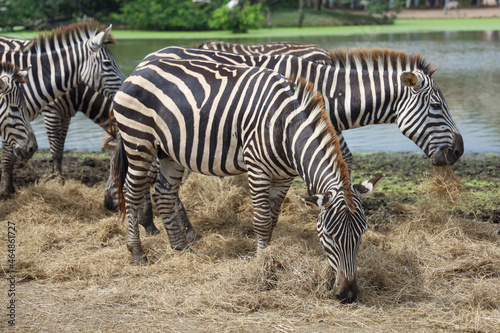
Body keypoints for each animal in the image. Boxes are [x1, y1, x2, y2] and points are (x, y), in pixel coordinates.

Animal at [110, 56, 382, 300]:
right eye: (329, 234)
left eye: (362, 234)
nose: (348, 295)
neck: (285, 127)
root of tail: (142, 66)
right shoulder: (257, 168)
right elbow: (262, 220)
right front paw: (261, 264)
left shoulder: (284, 177)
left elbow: (272, 219)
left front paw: (270, 258)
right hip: (139, 141)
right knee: (132, 193)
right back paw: (137, 253)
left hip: (168, 151)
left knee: (163, 195)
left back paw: (181, 248)